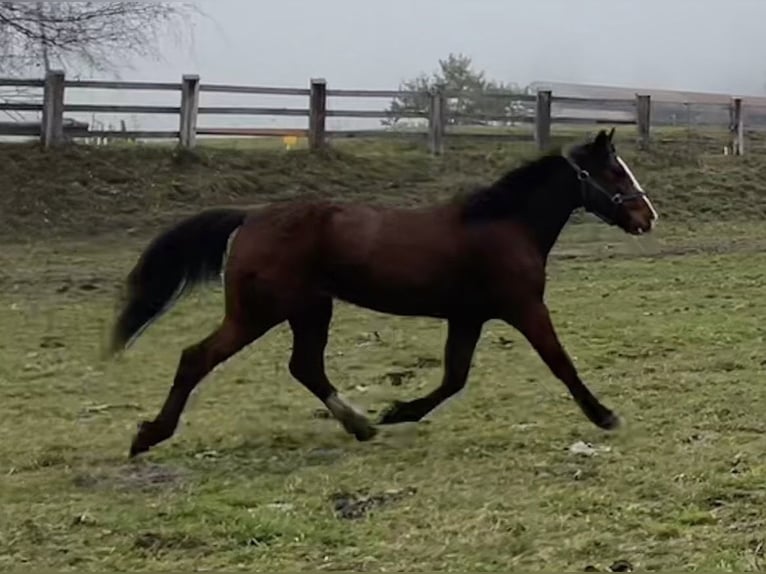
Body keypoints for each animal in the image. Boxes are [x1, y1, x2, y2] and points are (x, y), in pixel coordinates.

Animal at [108, 129, 660, 460]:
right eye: (614, 171)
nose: (647, 216)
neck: (504, 226)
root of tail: (251, 217)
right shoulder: (523, 308)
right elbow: (560, 364)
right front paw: (605, 415)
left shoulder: (468, 318)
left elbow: (454, 379)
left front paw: (397, 412)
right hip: (259, 313)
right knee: (196, 357)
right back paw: (148, 436)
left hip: (311, 309)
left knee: (305, 367)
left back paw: (362, 426)